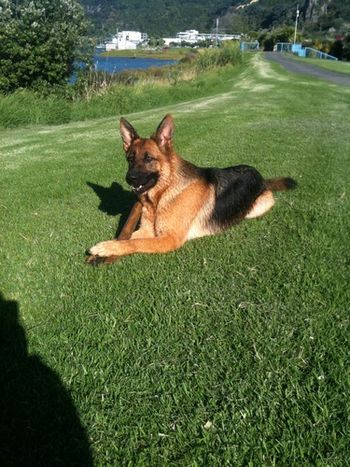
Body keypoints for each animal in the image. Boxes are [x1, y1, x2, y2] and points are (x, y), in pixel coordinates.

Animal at [87, 114, 296, 266]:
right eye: (130, 159)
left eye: (148, 159)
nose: (129, 178)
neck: (164, 193)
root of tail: (261, 177)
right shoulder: (147, 229)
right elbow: (125, 238)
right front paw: (103, 249)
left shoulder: (169, 238)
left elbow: (133, 242)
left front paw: (105, 249)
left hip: (257, 208)